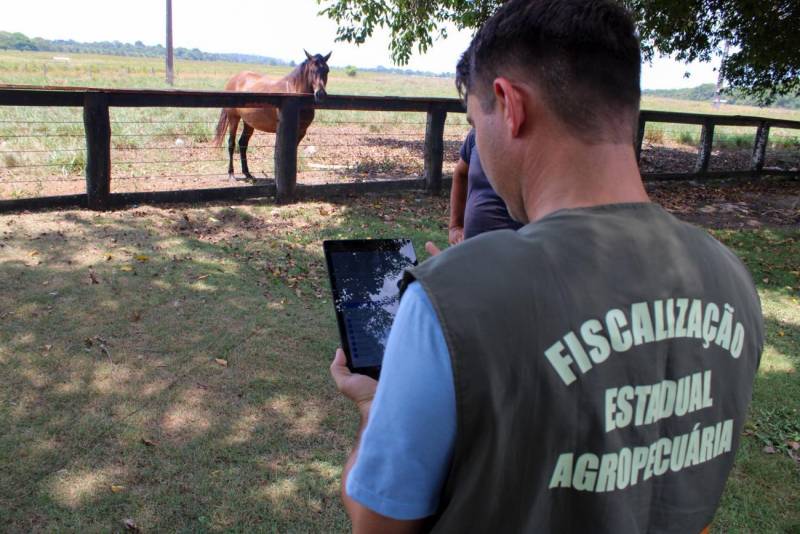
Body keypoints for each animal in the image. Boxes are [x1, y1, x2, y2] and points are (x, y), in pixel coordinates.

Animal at [212, 50, 332, 180]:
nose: (320, 94)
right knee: (231, 144)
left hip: (249, 123)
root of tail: (234, 79)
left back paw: (247, 174)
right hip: (233, 118)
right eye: (312, 70)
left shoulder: (301, 132)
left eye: (327, 70)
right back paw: (231, 174)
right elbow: (278, 154)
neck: (294, 94)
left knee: (243, 144)